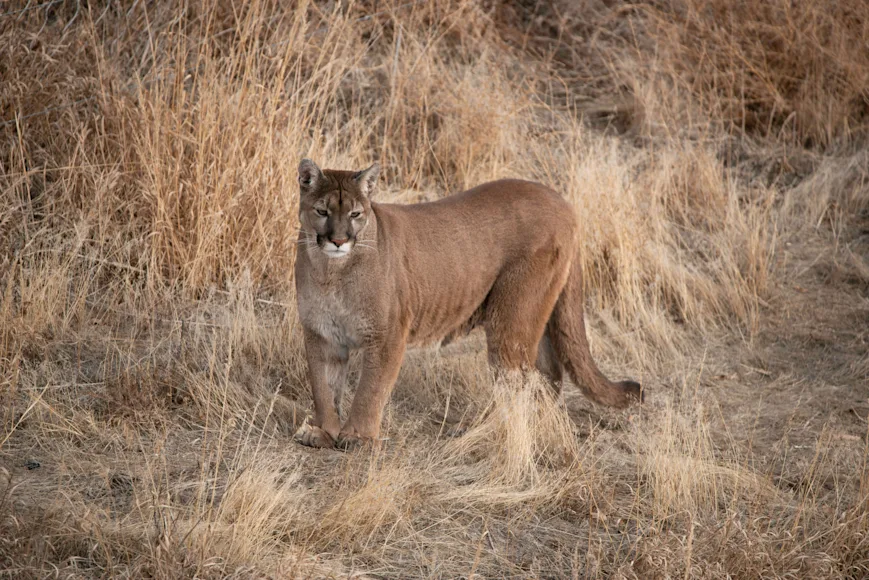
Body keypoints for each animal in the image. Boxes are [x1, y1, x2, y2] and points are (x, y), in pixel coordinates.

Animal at [292, 158, 642, 450]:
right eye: (322, 212)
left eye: (355, 214)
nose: (339, 240)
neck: (331, 271)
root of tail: (561, 200)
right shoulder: (321, 334)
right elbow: (324, 387)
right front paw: (324, 432)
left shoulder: (387, 336)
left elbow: (370, 389)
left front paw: (357, 437)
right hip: (533, 313)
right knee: (548, 373)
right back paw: (541, 424)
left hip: (510, 319)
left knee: (517, 380)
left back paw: (489, 433)